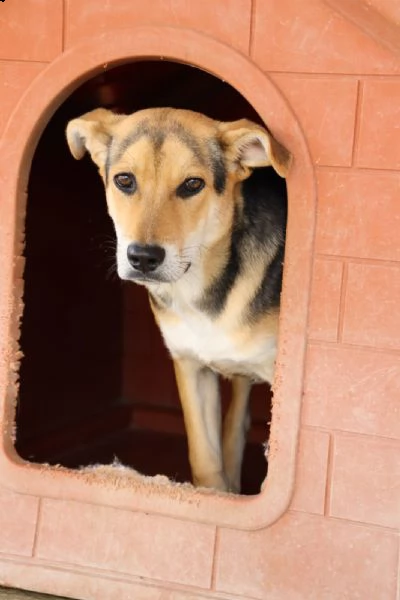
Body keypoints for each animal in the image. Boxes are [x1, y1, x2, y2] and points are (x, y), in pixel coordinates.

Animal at [66, 108, 290, 492]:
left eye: (192, 185)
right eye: (125, 180)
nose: (143, 257)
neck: (201, 291)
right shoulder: (190, 365)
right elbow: (205, 461)